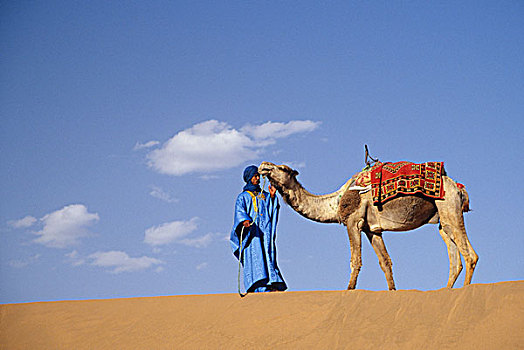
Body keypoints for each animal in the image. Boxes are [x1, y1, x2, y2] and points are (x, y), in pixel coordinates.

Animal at [258, 161, 478, 290]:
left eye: (282, 168)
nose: (263, 165)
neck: (336, 201)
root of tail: (458, 188)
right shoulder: (372, 230)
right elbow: (386, 262)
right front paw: (392, 292)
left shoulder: (353, 221)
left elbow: (355, 260)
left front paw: (348, 291)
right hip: (442, 220)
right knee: (455, 257)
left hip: (449, 206)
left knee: (469, 255)